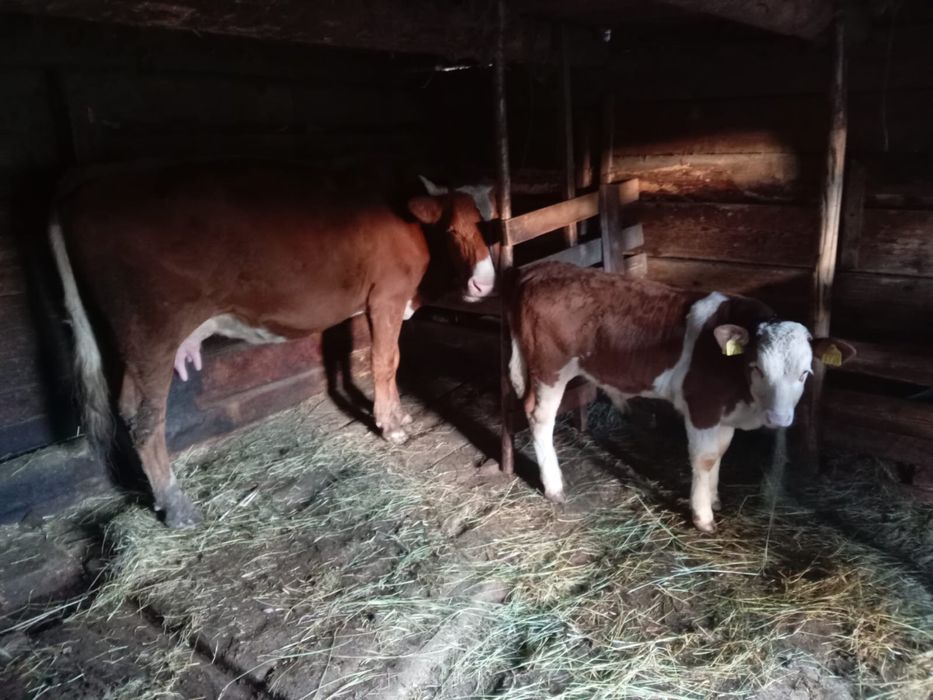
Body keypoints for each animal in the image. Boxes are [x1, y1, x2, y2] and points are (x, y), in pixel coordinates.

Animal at [49, 160, 496, 528]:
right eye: (452, 231)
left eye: (488, 230)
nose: (484, 284)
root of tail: (85, 189)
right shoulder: (386, 296)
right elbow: (387, 360)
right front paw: (391, 425)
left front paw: (396, 416)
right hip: (152, 329)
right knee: (147, 419)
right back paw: (177, 506)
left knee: (127, 406)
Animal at [506, 262, 855, 533]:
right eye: (756, 367)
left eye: (805, 373)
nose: (779, 418)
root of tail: (540, 269)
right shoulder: (702, 407)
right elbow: (704, 458)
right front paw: (703, 516)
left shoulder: (724, 414)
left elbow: (721, 452)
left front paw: (714, 498)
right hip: (550, 369)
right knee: (540, 418)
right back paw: (554, 486)